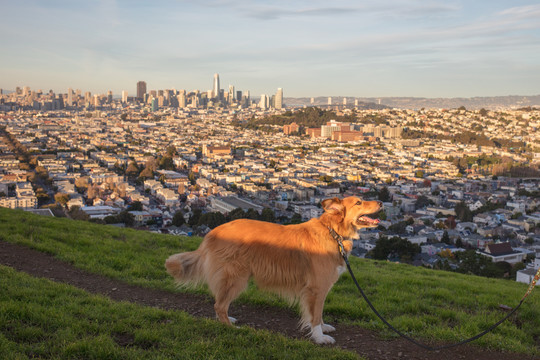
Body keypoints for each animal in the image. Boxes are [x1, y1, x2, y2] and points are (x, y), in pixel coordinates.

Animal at [167, 197, 382, 344]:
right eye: (359, 202)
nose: (380, 202)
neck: (333, 231)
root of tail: (213, 232)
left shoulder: (320, 289)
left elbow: (318, 314)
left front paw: (323, 328)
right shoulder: (317, 288)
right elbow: (314, 315)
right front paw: (319, 337)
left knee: (220, 303)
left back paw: (228, 319)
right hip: (237, 278)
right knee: (219, 305)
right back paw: (230, 327)